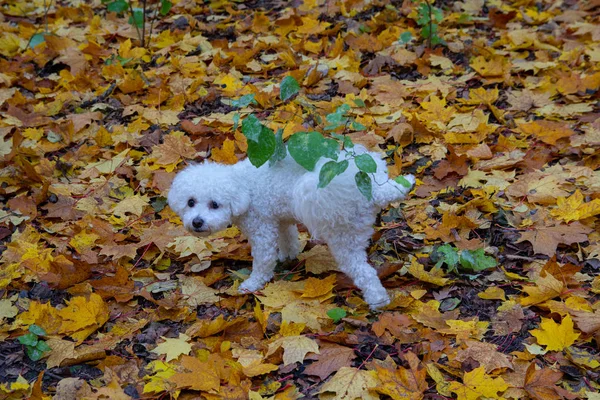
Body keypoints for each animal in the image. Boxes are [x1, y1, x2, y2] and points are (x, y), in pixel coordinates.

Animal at [168, 147, 412, 310]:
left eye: (214, 204)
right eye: (190, 202)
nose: (197, 222)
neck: (243, 189)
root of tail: (374, 192)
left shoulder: (261, 228)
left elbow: (263, 261)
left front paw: (253, 284)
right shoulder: (281, 219)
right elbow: (288, 238)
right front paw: (288, 256)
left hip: (344, 236)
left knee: (365, 272)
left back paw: (378, 301)